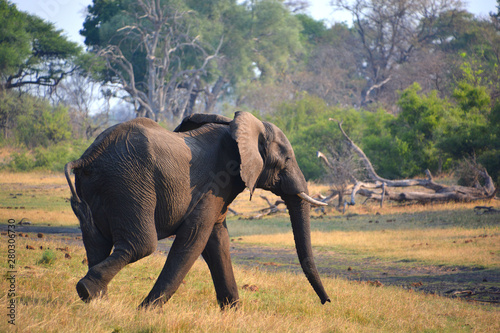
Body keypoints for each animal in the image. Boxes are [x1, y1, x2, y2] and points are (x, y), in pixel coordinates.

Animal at [64, 111, 330, 308]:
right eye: (287, 160)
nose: (326, 302)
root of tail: (88, 157)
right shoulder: (214, 183)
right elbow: (195, 237)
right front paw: (146, 311)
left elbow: (218, 239)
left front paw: (233, 312)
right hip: (129, 183)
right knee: (141, 244)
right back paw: (87, 291)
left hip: (98, 186)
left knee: (96, 240)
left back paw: (98, 301)